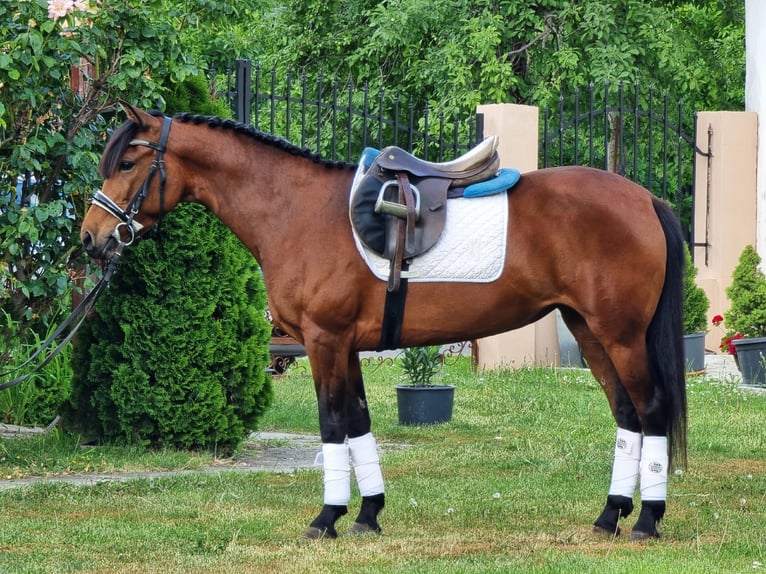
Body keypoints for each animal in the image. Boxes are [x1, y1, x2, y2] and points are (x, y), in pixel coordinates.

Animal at [80, 101, 687, 541]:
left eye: (127, 164)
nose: (91, 237)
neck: (295, 210)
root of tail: (645, 199)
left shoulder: (324, 341)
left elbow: (332, 424)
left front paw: (326, 519)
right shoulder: (345, 346)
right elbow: (358, 422)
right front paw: (368, 514)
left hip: (620, 335)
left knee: (652, 409)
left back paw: (646, 520)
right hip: (588, 331)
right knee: (627, 414)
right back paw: (610, 516)